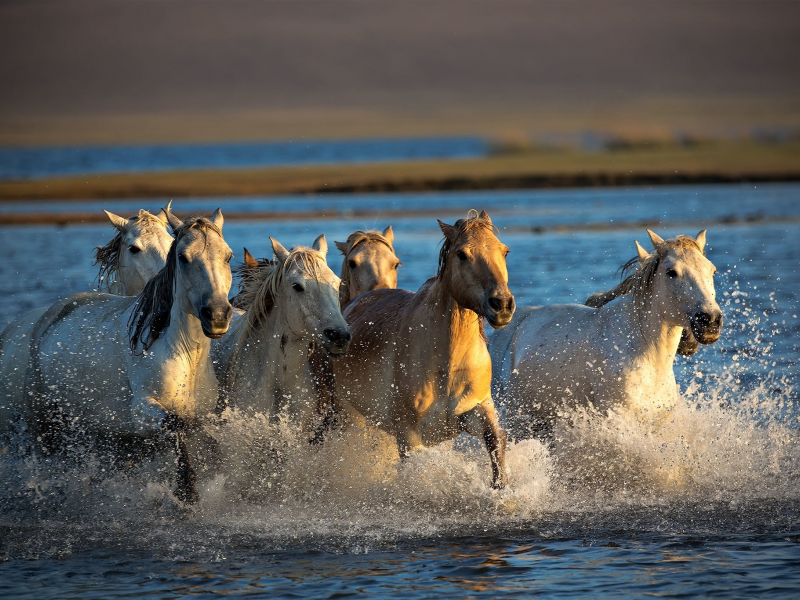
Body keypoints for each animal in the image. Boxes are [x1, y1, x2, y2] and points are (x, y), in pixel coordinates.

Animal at [328, 210, 516, 488]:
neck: (447, 362)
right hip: (351, 416)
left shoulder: (476, 408)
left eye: (505, 251)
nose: (502, 304)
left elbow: (496, 439)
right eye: (462, 254)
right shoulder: (409, 435)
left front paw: (500, 487)